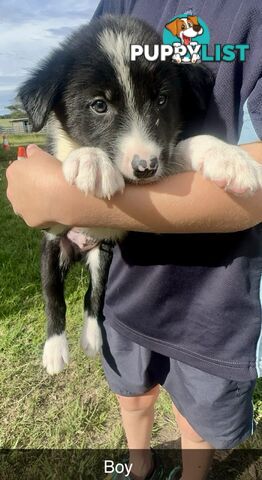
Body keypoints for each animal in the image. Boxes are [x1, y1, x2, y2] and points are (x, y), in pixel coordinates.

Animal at [18, 15, 262, 376]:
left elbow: (182, 146)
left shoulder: (164, 155)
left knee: (94, 295)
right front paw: (90, 159)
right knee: (53, 294)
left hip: (102, 254)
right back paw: (55, 350)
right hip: (53, 247)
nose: (145, 168)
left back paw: (92, 338)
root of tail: (79, 249)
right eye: (99, 105)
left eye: (161, 100)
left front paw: (229, 158)